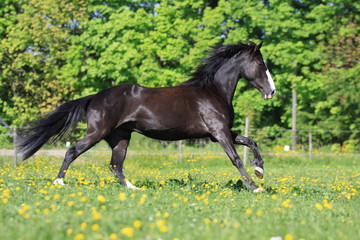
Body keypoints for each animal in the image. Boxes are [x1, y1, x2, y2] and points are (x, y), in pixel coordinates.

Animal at [16, 40, 276, 191]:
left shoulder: (220, 133)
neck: (213, 91)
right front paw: (255, 186)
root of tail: (95, 97)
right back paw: (59, 182)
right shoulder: (219, 133)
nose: (272, 91)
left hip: (120, 137)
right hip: (98, 132)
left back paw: (134, 189)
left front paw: (260, 171)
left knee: (115, 166)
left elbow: (251, 141)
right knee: (73, 151)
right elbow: (236, 159)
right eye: (261, 65)